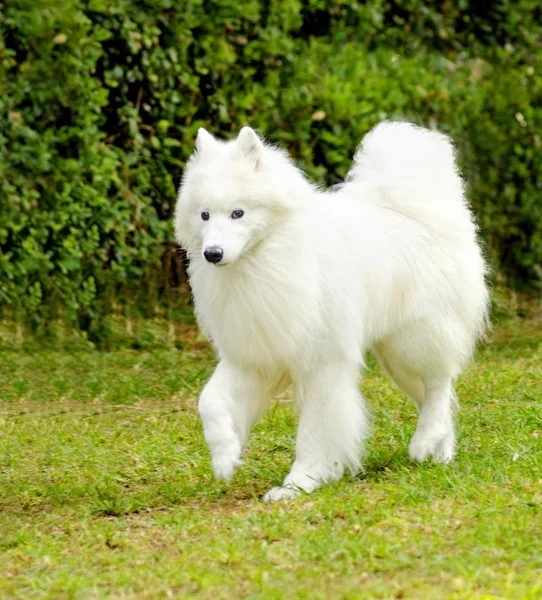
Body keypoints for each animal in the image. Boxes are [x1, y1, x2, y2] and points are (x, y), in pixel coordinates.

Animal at [176, 122, 490, 502]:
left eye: (238, 213)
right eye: (204, 215)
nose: (213, 253)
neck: (265, 260)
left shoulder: (323, 363)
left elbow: (315, 431)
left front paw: (299, 483)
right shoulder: (253, 356)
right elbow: (210, 402)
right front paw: (225, 457)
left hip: (414, 339)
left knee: (440, 384)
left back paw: (426, 440)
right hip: (396, 357)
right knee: (431, 395)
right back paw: (439, 450)